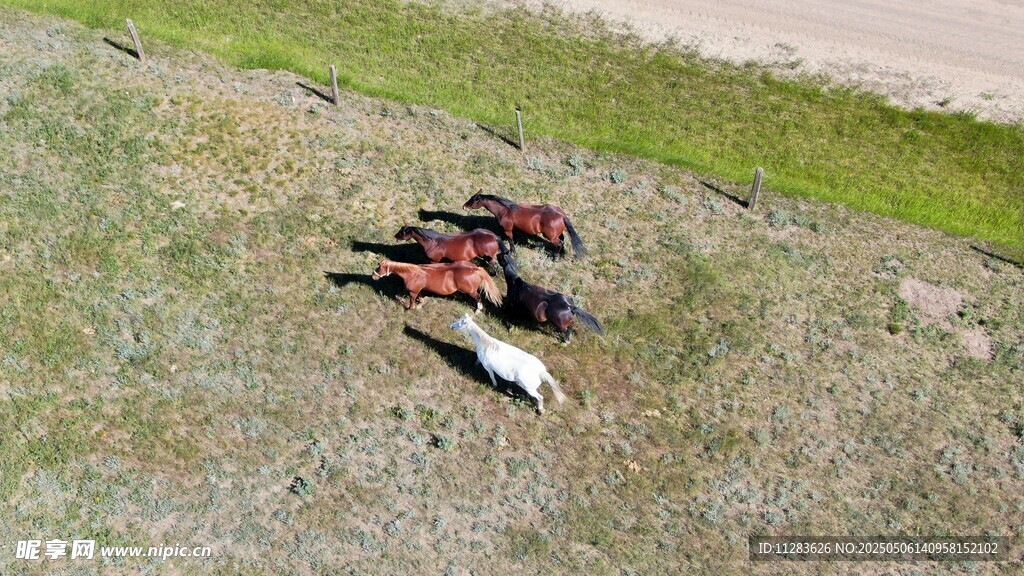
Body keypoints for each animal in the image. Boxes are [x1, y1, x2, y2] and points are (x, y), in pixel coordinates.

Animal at [371, 259, 502, 312]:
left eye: (379, 267)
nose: (373, 276)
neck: (412, 274)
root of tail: (476, 269)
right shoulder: (420, 290)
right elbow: (420, 298)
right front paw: (421, 304)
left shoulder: (413, 292)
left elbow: (412, 301)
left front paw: (409, 309)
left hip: (471, 291)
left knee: (479, 297)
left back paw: (477, 310)